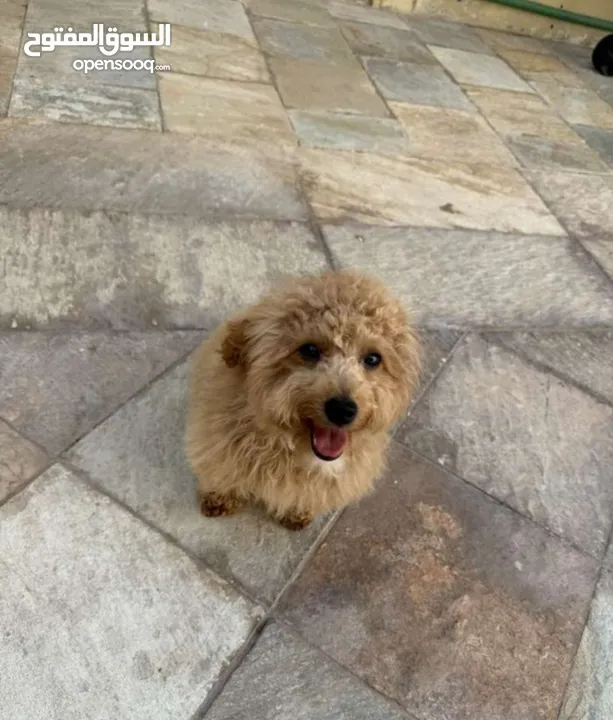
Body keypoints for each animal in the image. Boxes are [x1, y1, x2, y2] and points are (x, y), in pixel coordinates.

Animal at [184, 272, 418, 532]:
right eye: (309, 350)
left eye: (373, 358)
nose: (342, 410)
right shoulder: (216, 447)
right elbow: (220, 475)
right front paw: (219, 497)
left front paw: (297, 512)